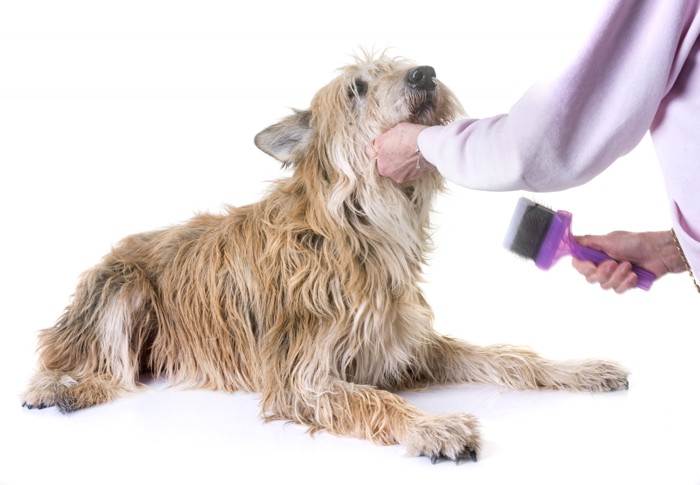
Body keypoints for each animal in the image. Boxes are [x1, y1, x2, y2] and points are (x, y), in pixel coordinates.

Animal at [20, 51, 628, 464]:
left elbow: (508, 357)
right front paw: (434, 427)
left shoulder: (407, 348)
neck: (360, 229)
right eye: (357, 87)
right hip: (121, 284)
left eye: (402, 66)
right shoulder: (302, 377)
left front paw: (577, 370)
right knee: (85, 361)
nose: (424, 73)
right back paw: (61, 389)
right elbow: (375, 402)